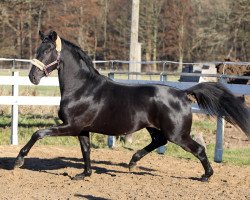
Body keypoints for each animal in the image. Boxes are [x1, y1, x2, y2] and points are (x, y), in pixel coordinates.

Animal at [14, 30, 249, 181]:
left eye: (48, 50)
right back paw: (132, 162)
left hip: (177, 134)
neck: (82, 88)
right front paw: (84, 174)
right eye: (38, 49)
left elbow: (38, 133)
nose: (33, 77)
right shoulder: (82, 129)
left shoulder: (71, 126)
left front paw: (18, 161)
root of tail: (182, 93)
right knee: (158, 141)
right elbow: (86, 151)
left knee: (198, 149)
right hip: (155, 128)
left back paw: (206, 176)